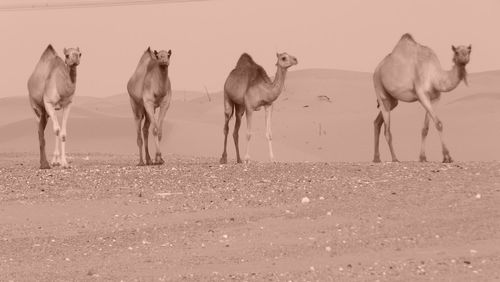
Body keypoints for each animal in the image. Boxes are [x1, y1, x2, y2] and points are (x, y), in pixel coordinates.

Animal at [374, 33, 470, 163]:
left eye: (469, 50)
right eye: (456, 52)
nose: (464, 58)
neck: (434, 76)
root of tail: (377, 69)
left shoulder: (434, 98)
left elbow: (425, 128)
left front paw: (423, 157)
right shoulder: (421, 95)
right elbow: (438, 123)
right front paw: (447, 156)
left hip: (393, 100)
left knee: (377, 122)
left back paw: (376, 158)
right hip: (379, 88)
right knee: (387, 128)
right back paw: (395, 158)